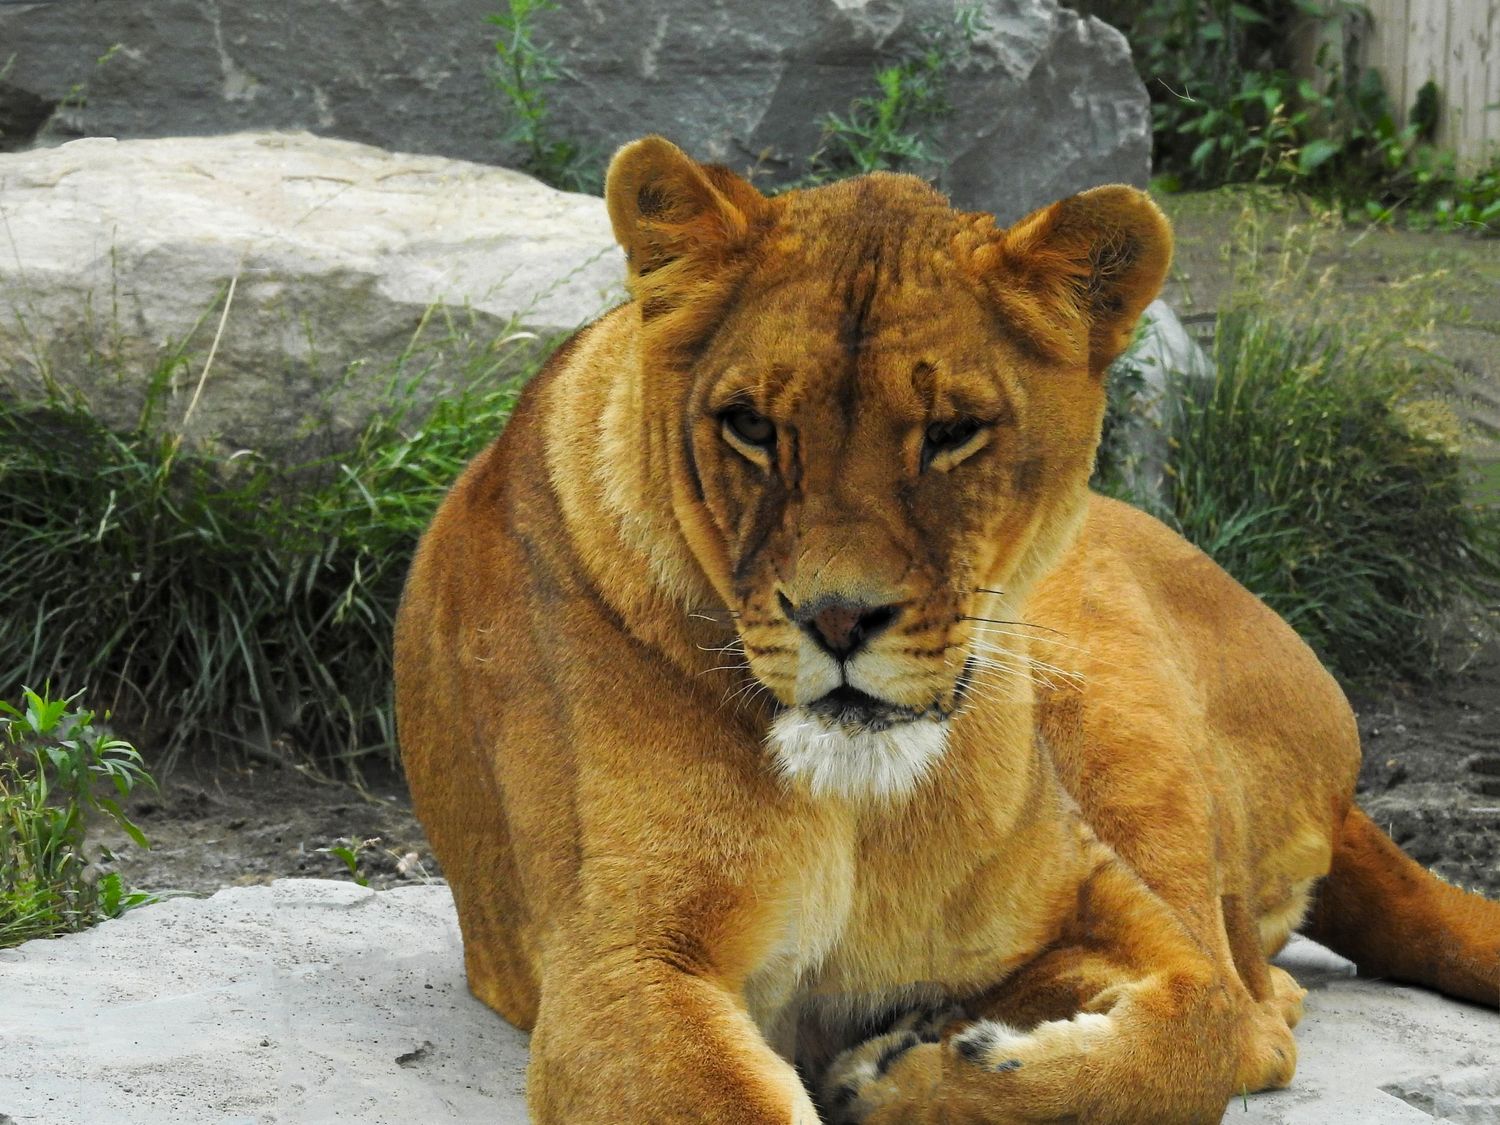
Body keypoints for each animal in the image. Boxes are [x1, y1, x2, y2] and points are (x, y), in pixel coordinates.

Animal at [394, 136, 1500, 1124]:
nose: (837, 617)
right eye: (750, 425)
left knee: (1259, 1014)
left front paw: (909, 1072)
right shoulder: (620, 969)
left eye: (954, 432)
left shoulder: (1100, 893)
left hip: (1120, 715)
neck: (863, 811)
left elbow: (1197, 1036)